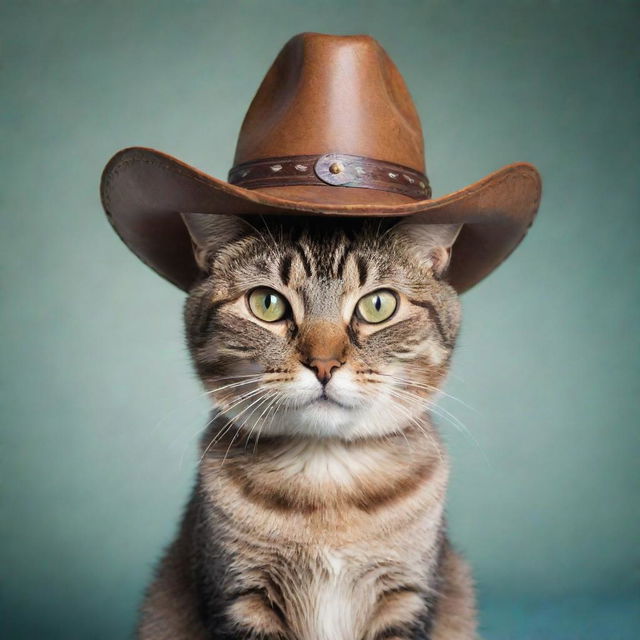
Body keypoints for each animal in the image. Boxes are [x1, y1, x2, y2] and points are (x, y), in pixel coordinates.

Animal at [138, 212, 478, 636]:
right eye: (266, 303)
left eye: (378, 305)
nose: (324, 364)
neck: (327, 483)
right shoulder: (239, 596)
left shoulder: (407, 596)